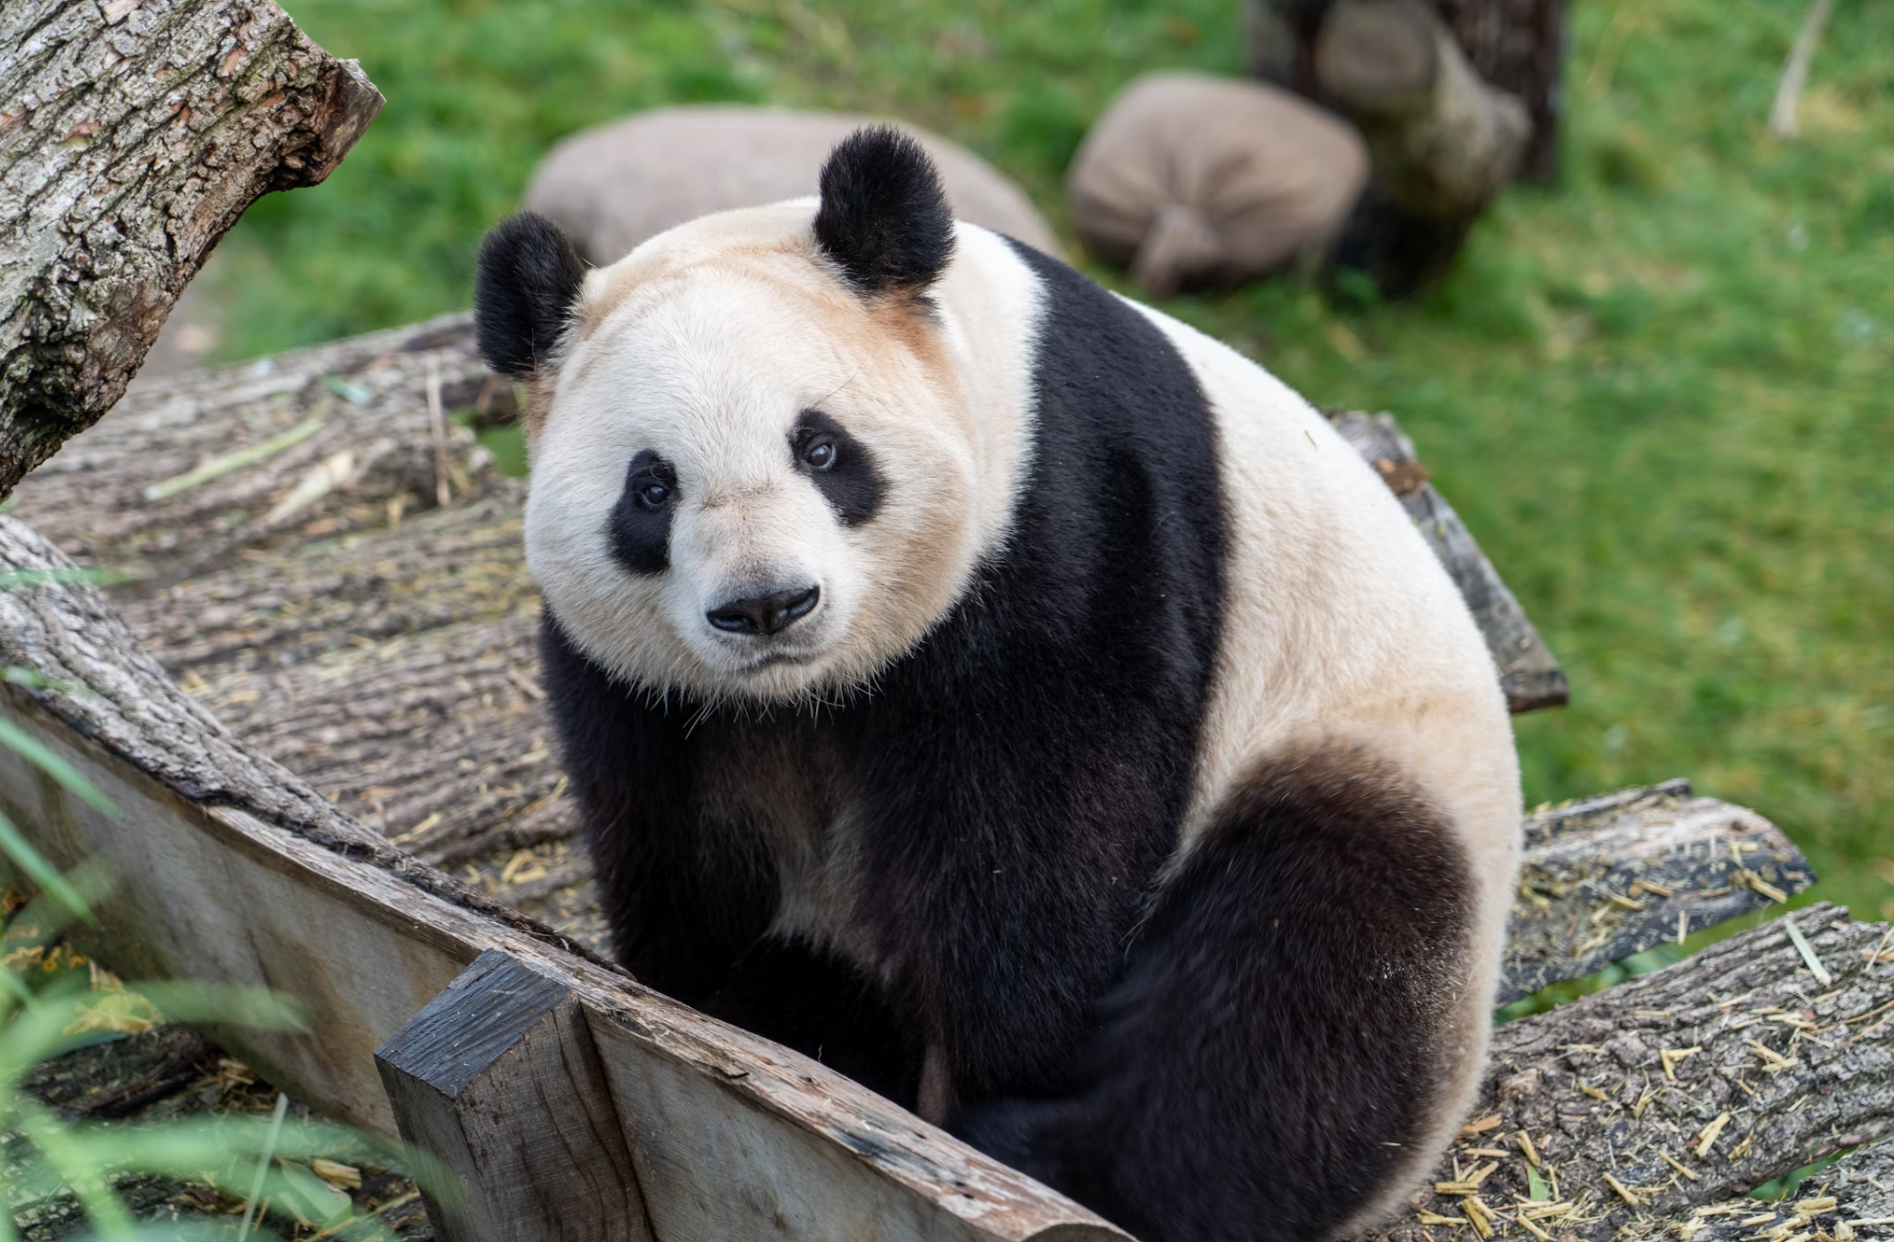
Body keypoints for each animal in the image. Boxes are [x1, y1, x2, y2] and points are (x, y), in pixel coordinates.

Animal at [474, 127, 1521, 1242]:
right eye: (651, 487)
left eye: (821, 447)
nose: (766, 605)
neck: (815, 690)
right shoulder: (643, 685)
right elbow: (683, 841)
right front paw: (747, 1014)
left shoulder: (1068, 517)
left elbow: (1040, 828)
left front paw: (987, 1078)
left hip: (1363, 748)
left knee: (1303, 981)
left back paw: (1053, 1152)